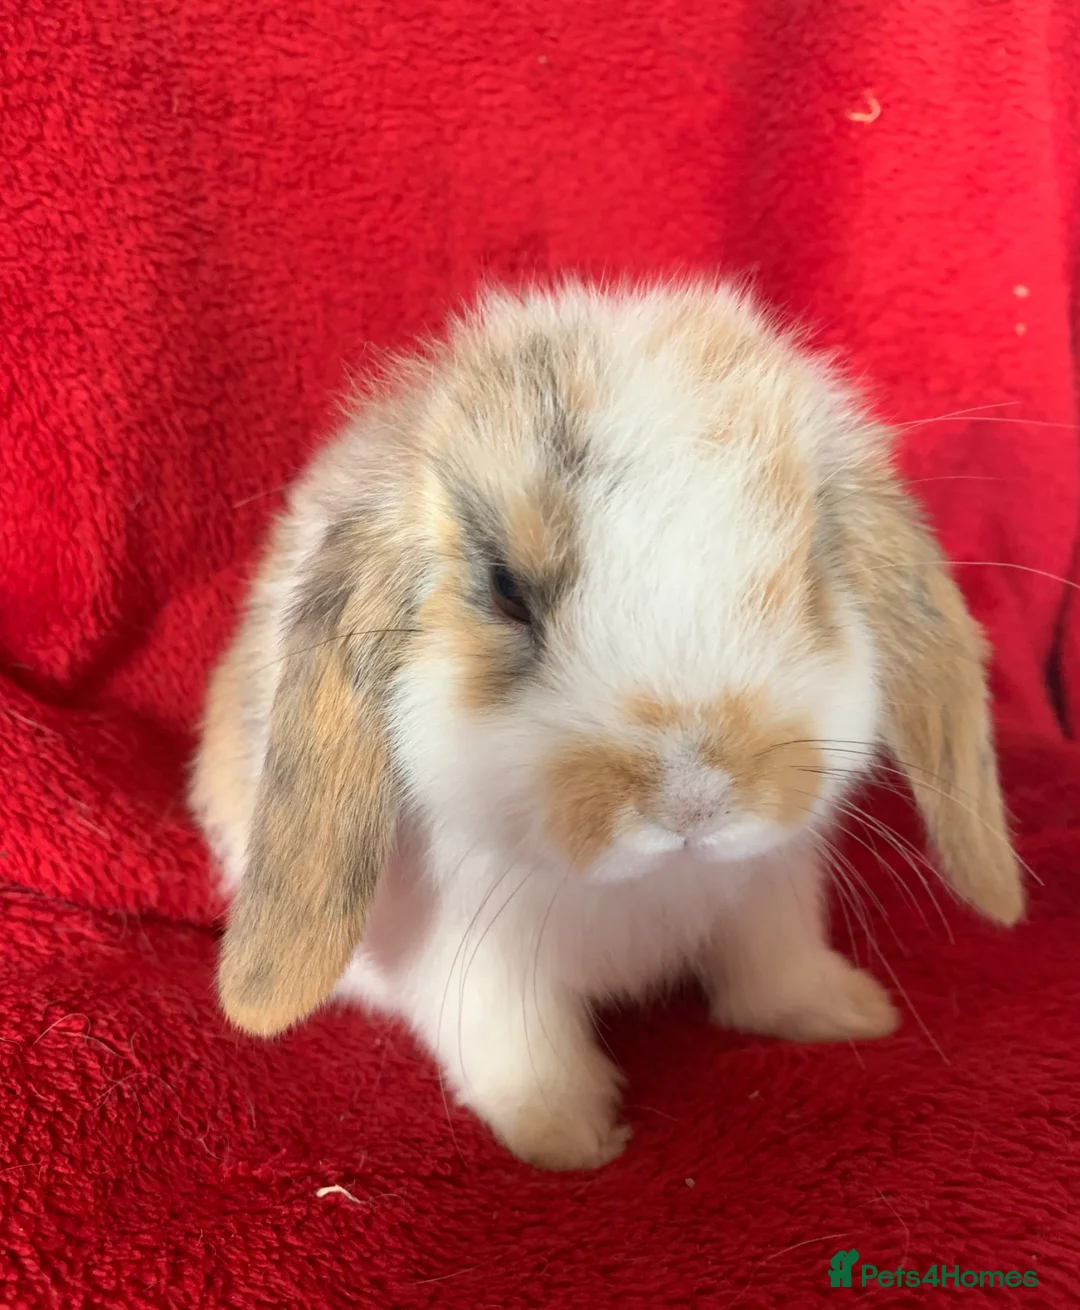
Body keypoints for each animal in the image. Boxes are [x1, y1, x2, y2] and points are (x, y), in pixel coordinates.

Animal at [190, 279, 1024, 1171]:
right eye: (506, 590)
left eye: (808, 571)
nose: (696, 802)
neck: (648, 884)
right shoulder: (476, 958)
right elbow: (522, 1046)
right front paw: (568, 1139)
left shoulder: (772, 891)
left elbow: (774, 969)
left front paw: (846, 1014)